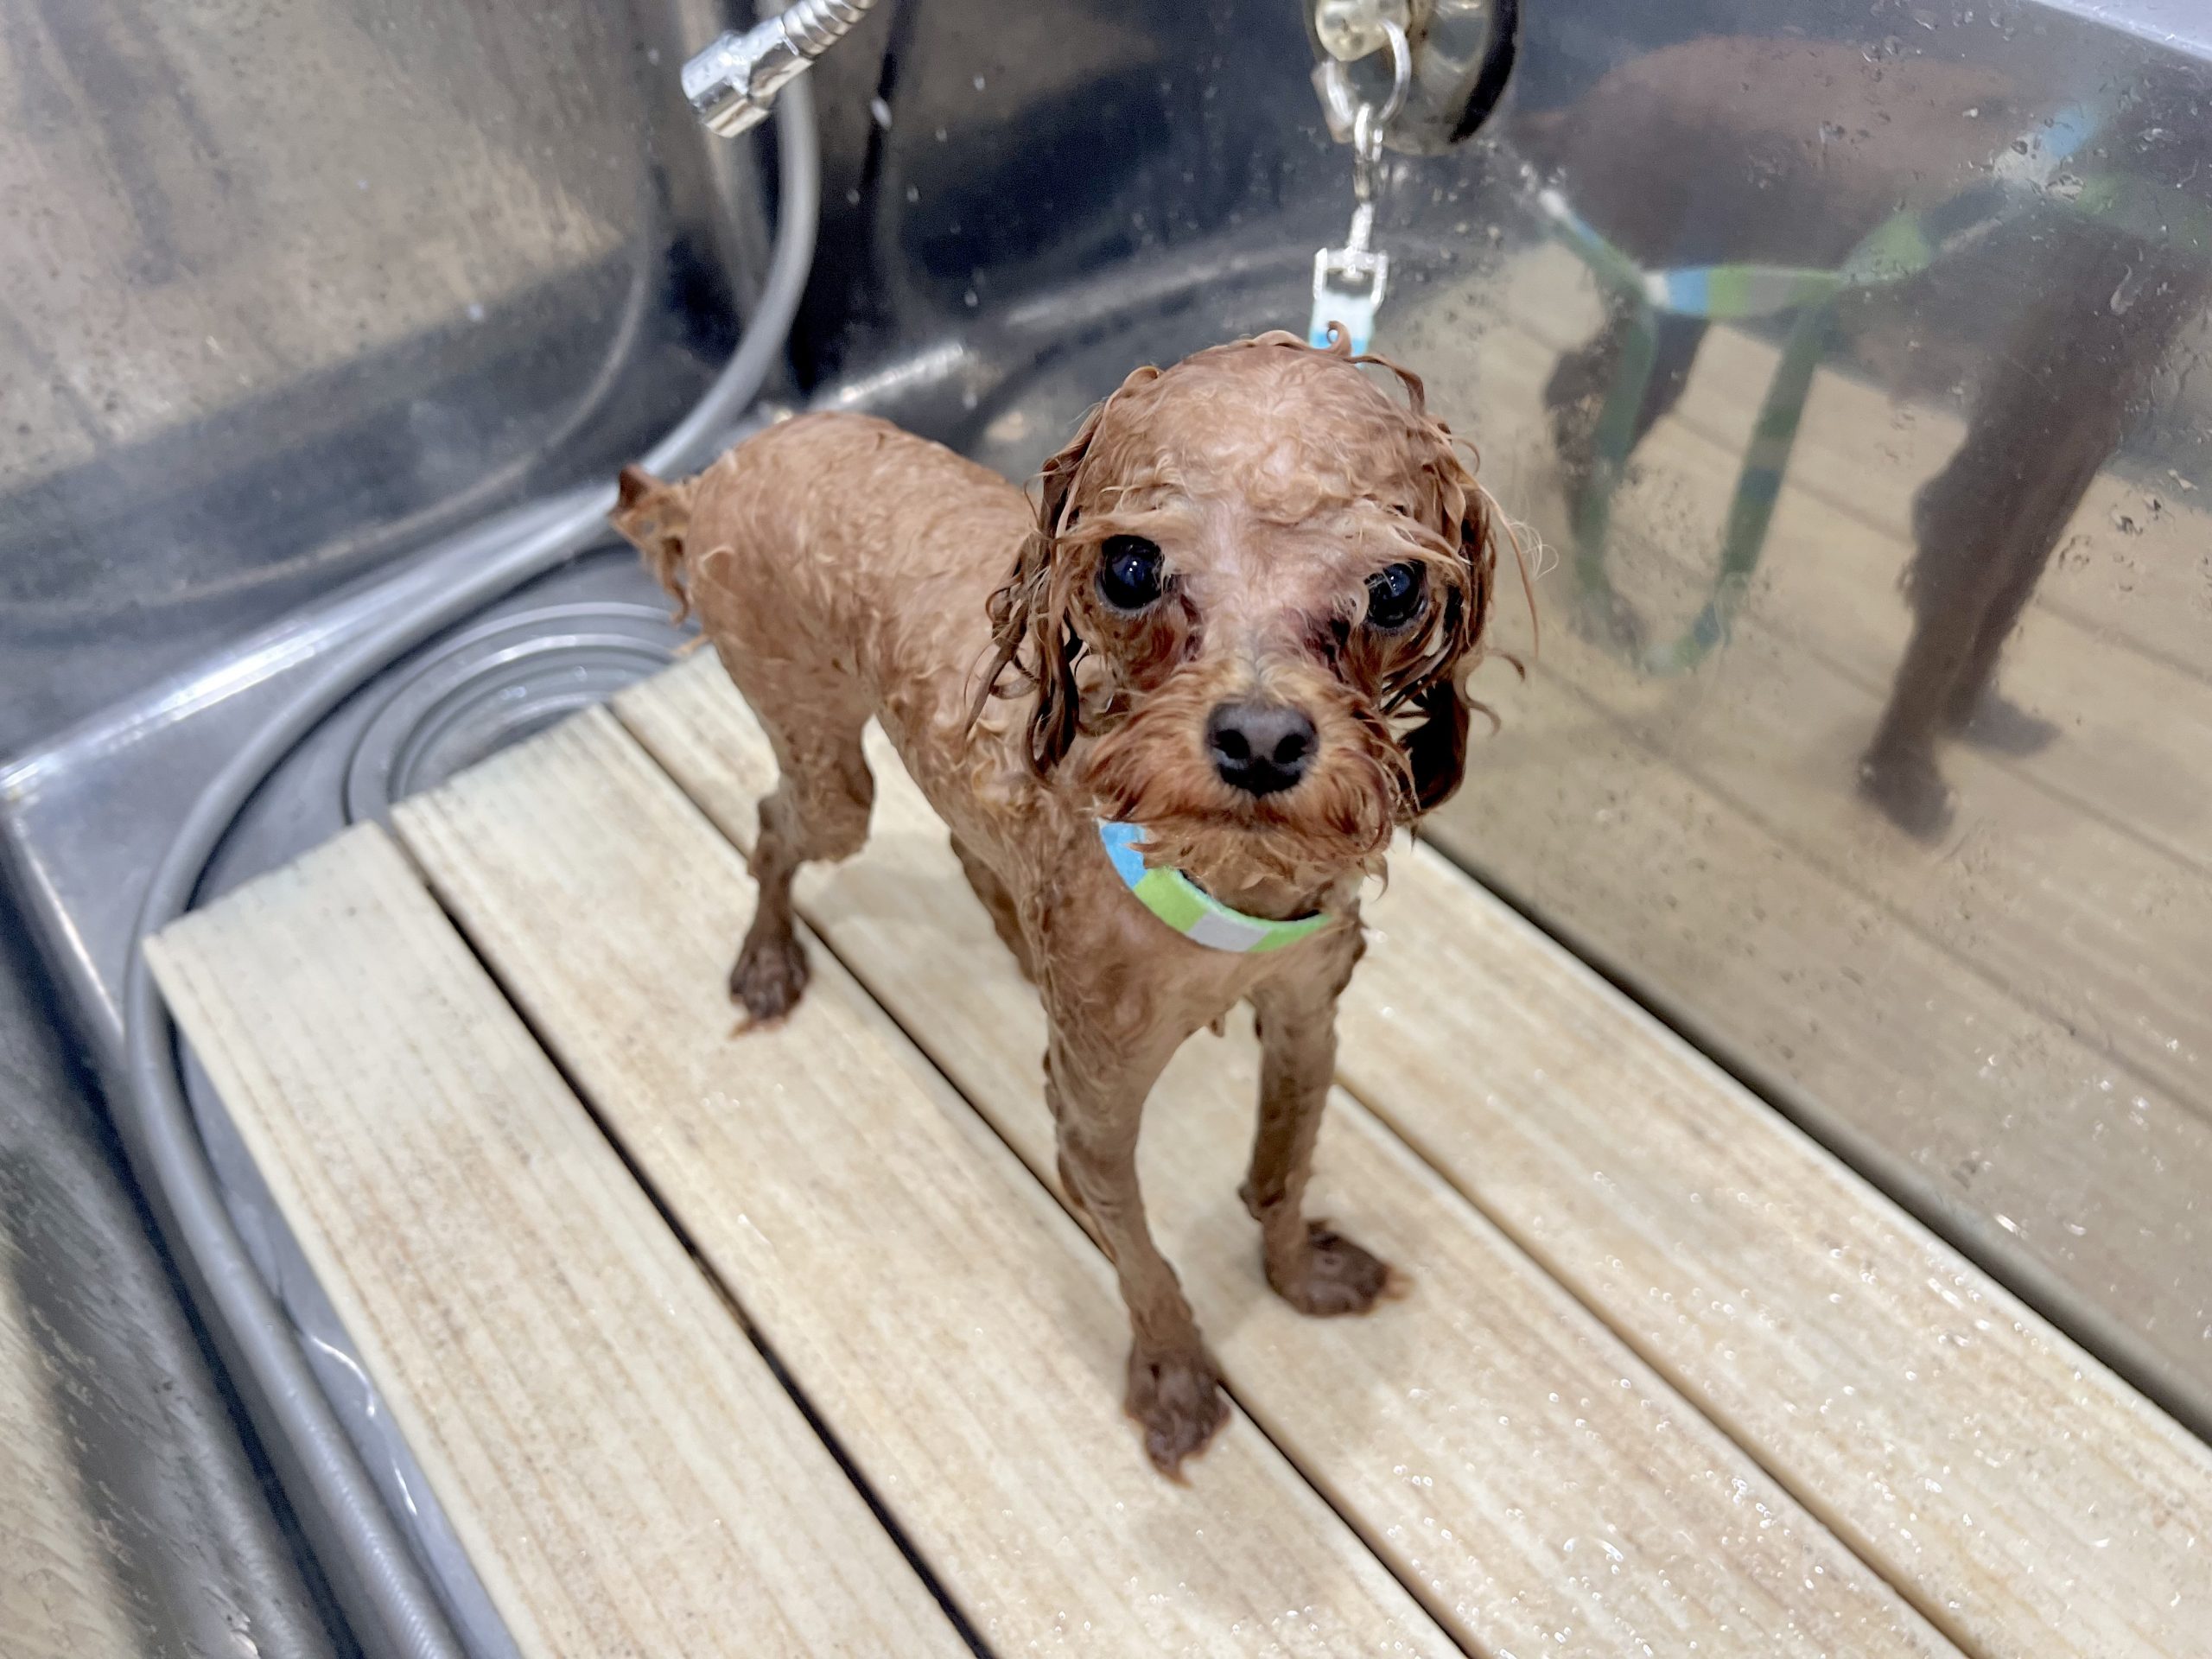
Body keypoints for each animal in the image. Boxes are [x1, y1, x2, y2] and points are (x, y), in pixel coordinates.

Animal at [611, 331, 1509, 1472]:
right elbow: (1141, 1258)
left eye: (1393, 588)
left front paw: (1298, 1271)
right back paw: (768, 961)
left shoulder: (1309, 1016)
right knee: (777, 825)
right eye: (1129, 567)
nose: (1261, 741)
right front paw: (1172, 1375)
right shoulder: (1091, 1114)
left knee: (964, 841)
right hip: (826, 774)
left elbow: (1283, 1171)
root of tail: (721, 467)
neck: (1215, 885)